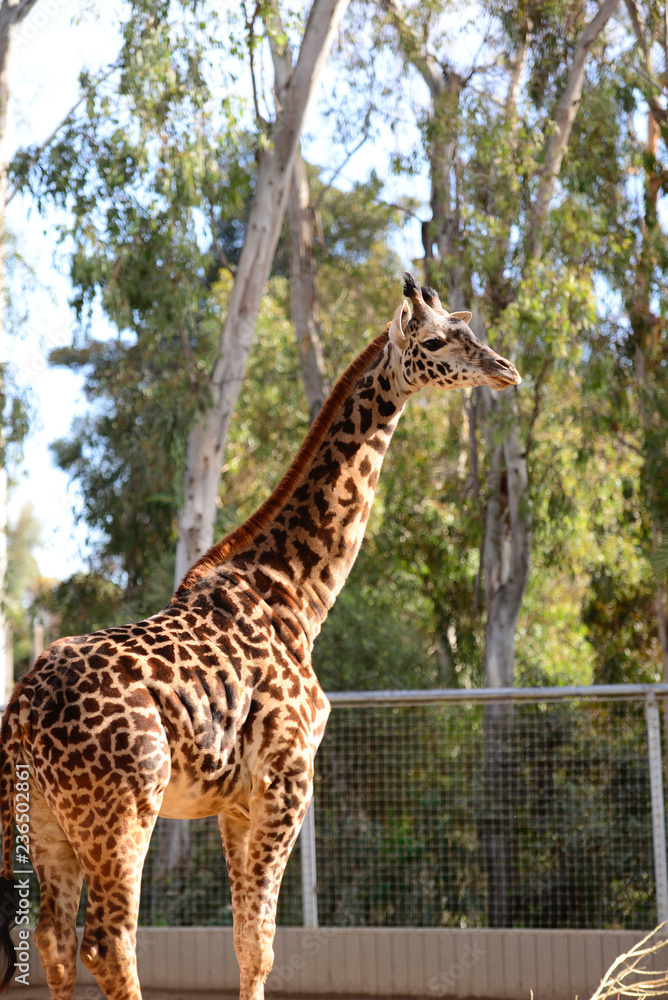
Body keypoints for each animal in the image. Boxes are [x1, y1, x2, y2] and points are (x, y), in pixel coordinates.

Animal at [0, 273, 520, 1000]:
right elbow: (264, 944)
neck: (300, 594)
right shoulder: (287, 775)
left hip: (48, 819)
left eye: (470, 330)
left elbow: (246, 941)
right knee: (107, 940)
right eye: (441, 341)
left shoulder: (234, 803)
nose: (506, 369)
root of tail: (20, 710)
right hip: (123, 808)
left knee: (50, 938)